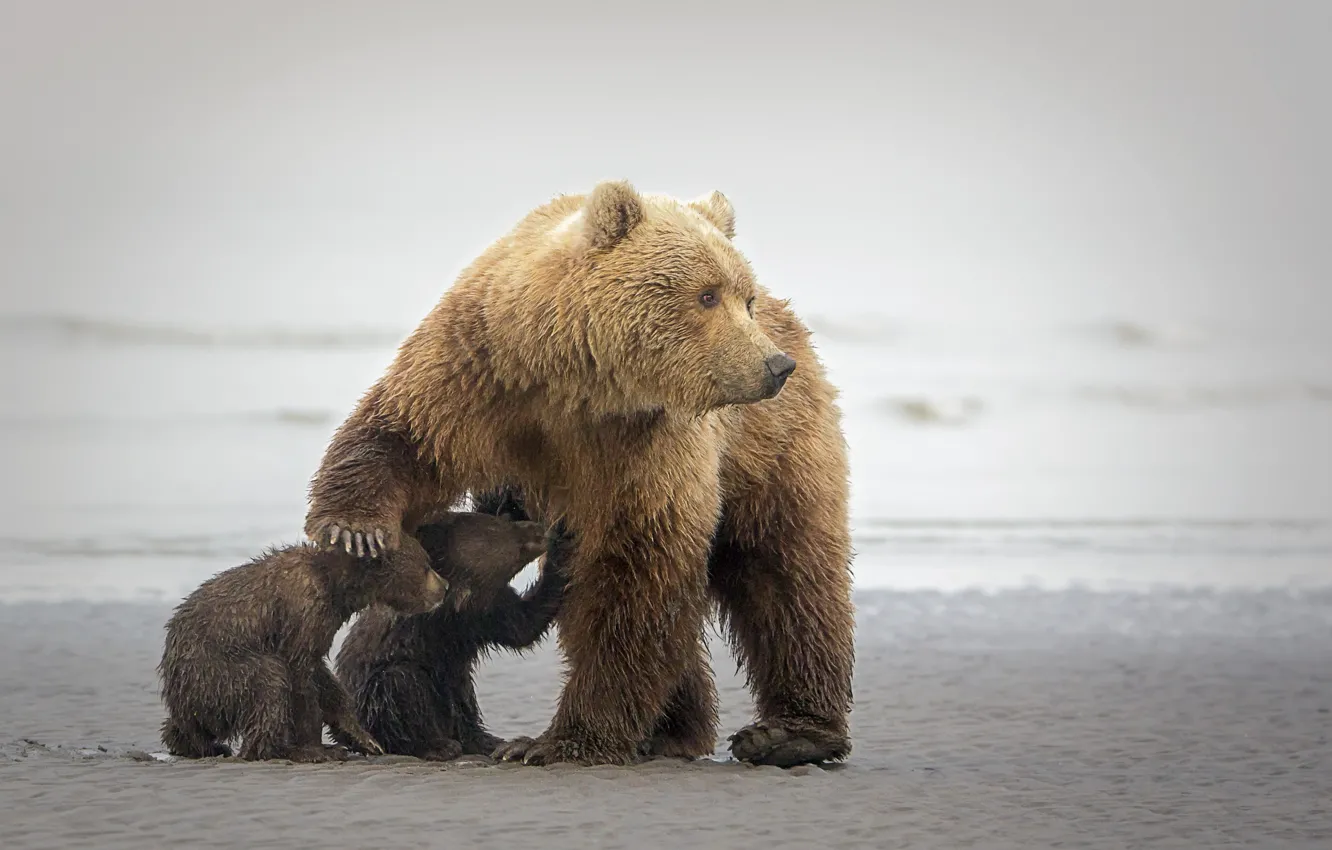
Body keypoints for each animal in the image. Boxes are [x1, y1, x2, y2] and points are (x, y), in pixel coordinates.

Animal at [158, 510, 544, 762]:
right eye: (424, 565)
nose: (444, 586)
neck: (336, 587)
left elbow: (324, 678)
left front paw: (362, 738)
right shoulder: (303, 612)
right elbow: (299, 674)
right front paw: (316, 747)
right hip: (213, 675)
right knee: (269, 679)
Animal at [334, 489, 573, 762]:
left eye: (504, 520)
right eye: (498, 530)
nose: (539, 530)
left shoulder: (482, 614)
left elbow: (521, 625)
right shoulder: (459, 621)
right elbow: (523, 628)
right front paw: (561, 545)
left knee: (463, 708)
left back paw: (491, 741)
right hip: (373, 701)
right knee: (401, 684)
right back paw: (438, 745)